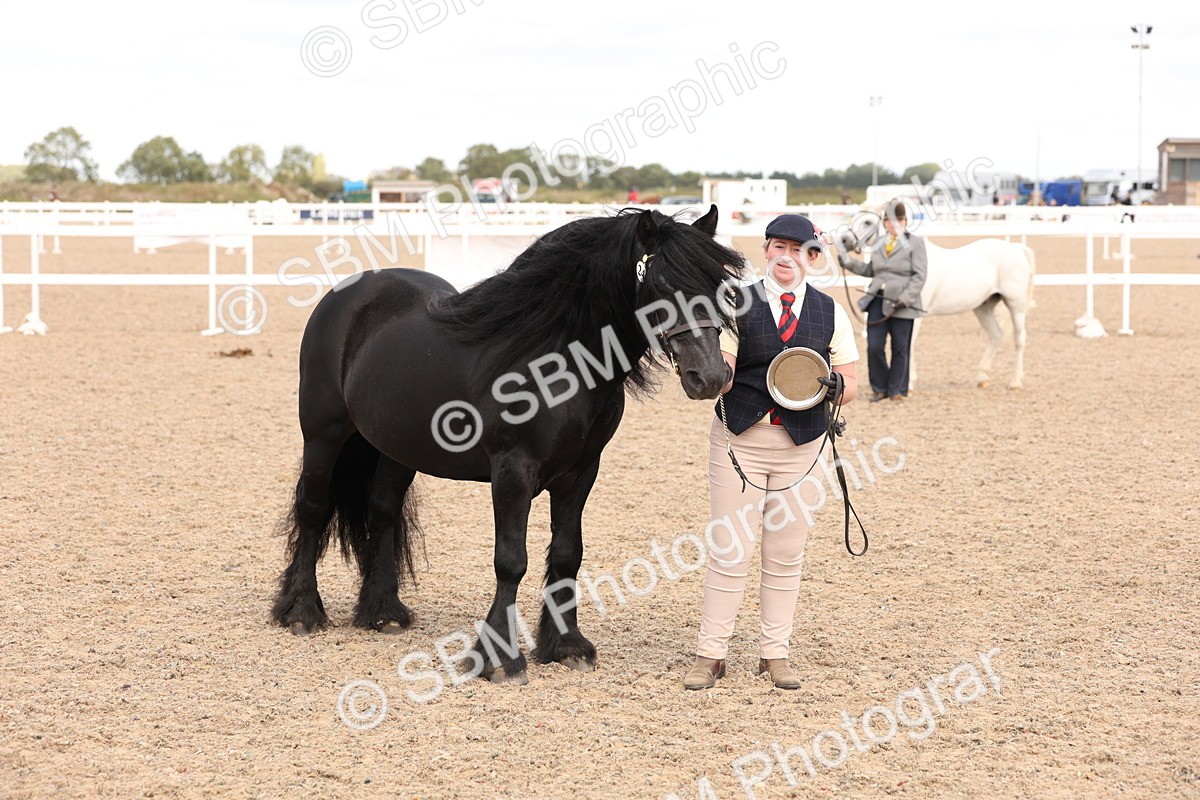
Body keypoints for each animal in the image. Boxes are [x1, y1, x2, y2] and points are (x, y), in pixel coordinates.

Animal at [271, 206, 742, 685]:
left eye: (719, 284)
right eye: (661, 286)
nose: (711, 376)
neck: (555, 361)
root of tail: (347, 295)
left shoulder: (581, 472)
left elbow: (568, 554)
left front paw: (566, 645)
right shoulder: (513, 471)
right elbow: (511, 560)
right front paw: (498, 658)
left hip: (394, 447)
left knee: (382, 510)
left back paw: (383, 612)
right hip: (323, 433)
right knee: (312, 508)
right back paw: (301, 612)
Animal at [837, 212, 1036, 390]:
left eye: (867, 221)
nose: (844, 240)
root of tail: (1016, 248)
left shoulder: (913, 317)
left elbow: (908, 345)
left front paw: (909, 384)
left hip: (1015, 304)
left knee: (1020, 339)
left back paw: (1015, 382)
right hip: (983, 307)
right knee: (996, 335)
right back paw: (982, 378)